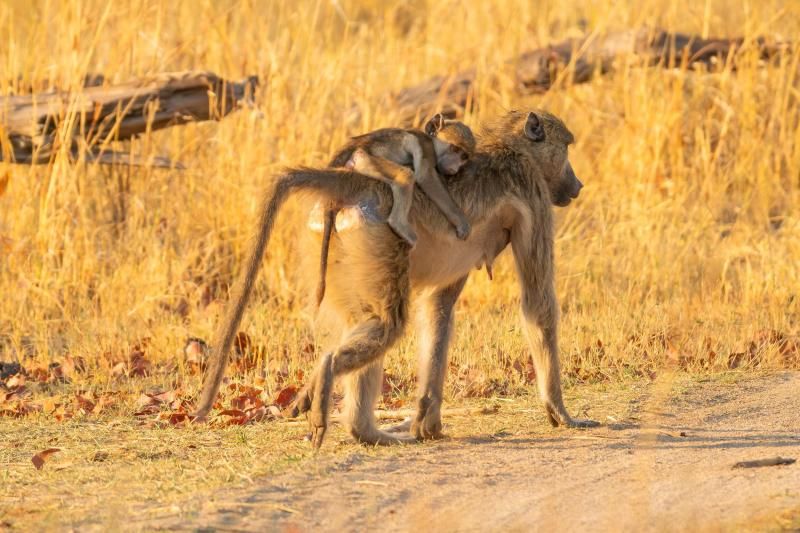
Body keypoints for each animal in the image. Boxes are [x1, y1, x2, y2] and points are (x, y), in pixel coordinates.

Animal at [314, 114, 476, 306]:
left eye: (463, 156)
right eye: (454, 148)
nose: (455, 167)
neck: (430, 139)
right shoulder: (426, 151)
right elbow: (426, 177)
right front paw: (462, 223)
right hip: (366, 161)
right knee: (406, 174)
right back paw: (400, 226)